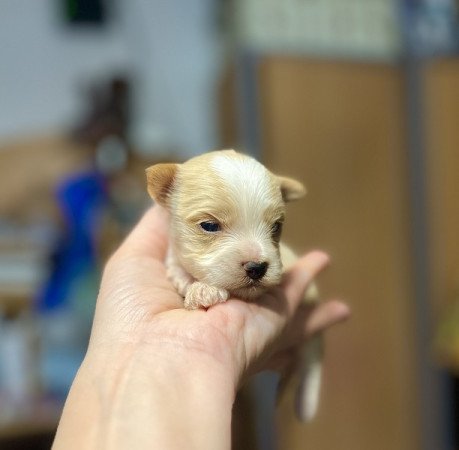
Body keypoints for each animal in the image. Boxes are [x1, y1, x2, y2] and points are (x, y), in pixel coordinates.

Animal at [147, 150, 324, 422]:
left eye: (276, 227)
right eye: (209, 226)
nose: (257, 267)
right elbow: (177, 268)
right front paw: (197, 287)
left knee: (311, 360)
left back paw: (306, 403)